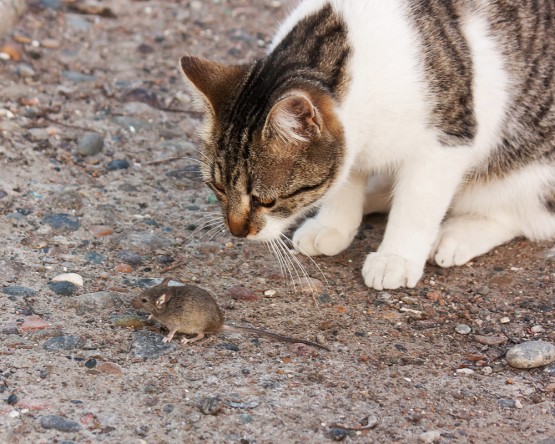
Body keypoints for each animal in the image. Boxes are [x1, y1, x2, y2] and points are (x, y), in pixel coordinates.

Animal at [180, 0, 555, 290]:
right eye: (217, 187)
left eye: (266, 200)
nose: (236, 232)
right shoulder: (351, 145)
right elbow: (343, 179)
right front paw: (333, 224)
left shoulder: (447, 140)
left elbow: (418, 204)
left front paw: (396, 256)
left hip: (529, 167)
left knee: (518, 213)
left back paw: (457, 233)